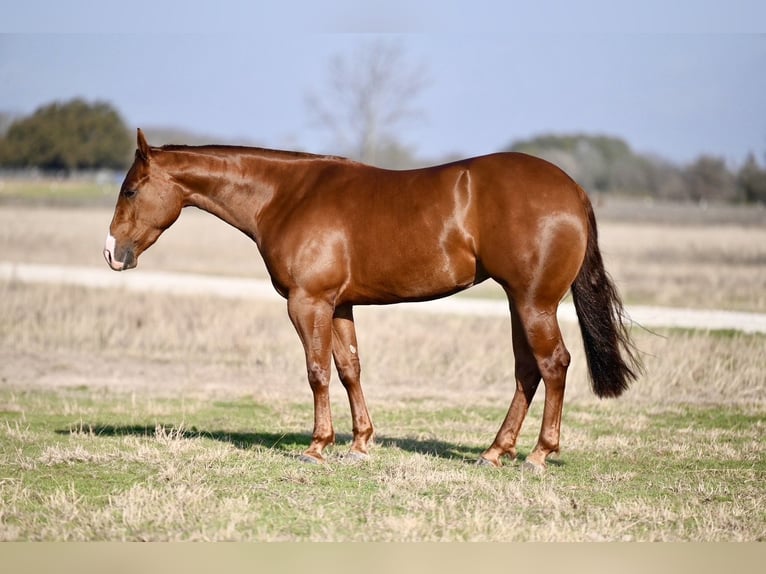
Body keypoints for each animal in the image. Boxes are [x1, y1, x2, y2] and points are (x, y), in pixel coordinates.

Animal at [103, 130, 640, 472]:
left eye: (129, 189)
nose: (112, 253)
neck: (286, 196)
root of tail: (573, 190)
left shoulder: (308, 303)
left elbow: (317, 372)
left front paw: (317, 446)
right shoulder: (339, 306)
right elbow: (349, 369)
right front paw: (360, 444)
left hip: (533, 303)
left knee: (554, 364)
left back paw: (538, 454)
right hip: (517, 302)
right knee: (527, 371)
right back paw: (495, 451)